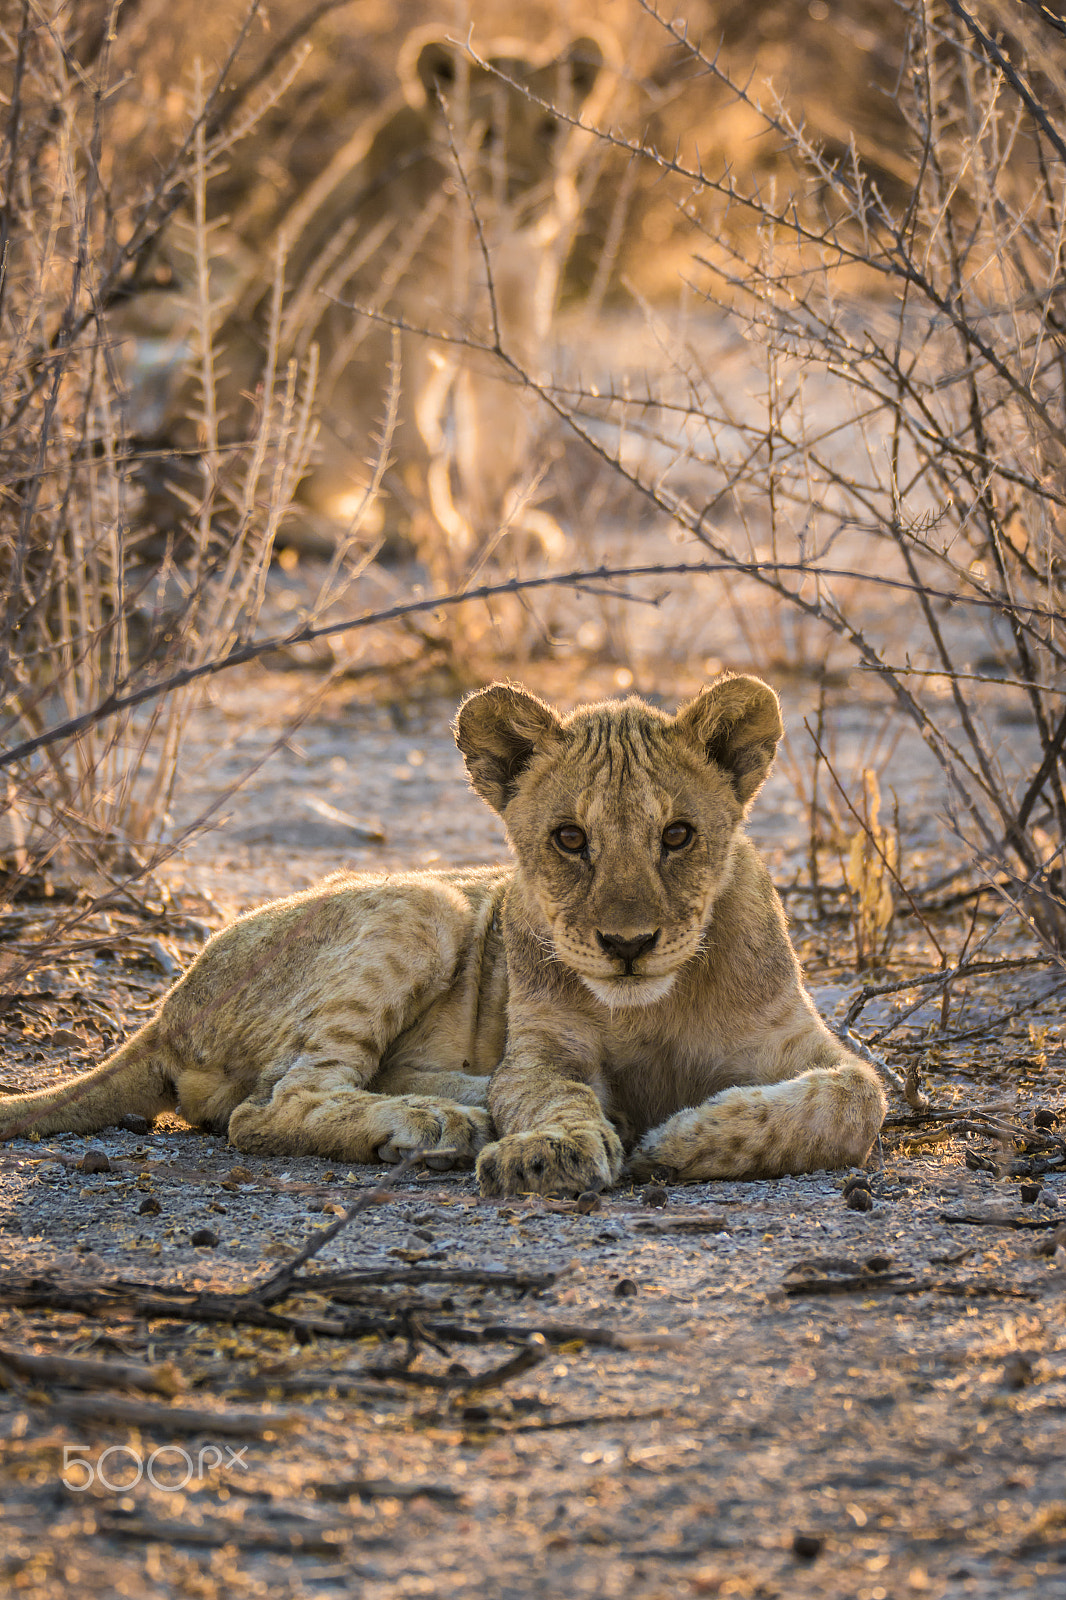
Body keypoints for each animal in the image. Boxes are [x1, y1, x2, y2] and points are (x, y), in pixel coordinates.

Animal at [0, 677, 886, 1194]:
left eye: (678, 836)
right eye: (570, 839)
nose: (628, 945)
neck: (654, 1008)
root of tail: (165, 1006)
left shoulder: (809, 1048)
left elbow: (855, 1099)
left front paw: (688, 1136)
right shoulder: (540, 1052)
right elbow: (555, 1097)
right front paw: (549, 1153)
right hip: (424, 903)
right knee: (274, 1104)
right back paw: (438, 1123)